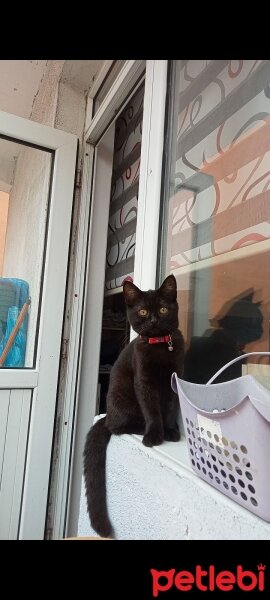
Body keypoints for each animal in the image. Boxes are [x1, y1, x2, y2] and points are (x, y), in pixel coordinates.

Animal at [83, 274, 185, 536]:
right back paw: (141, 430)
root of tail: (106, 416)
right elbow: (153, 411)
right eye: (142, 311)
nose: (153, 320)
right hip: (123, 401)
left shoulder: (174, 380)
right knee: (118, 427)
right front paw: (155, 435)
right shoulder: (144, 381)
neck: (159, 347)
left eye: (163, 309)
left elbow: (170, 409)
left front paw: (171, 431)